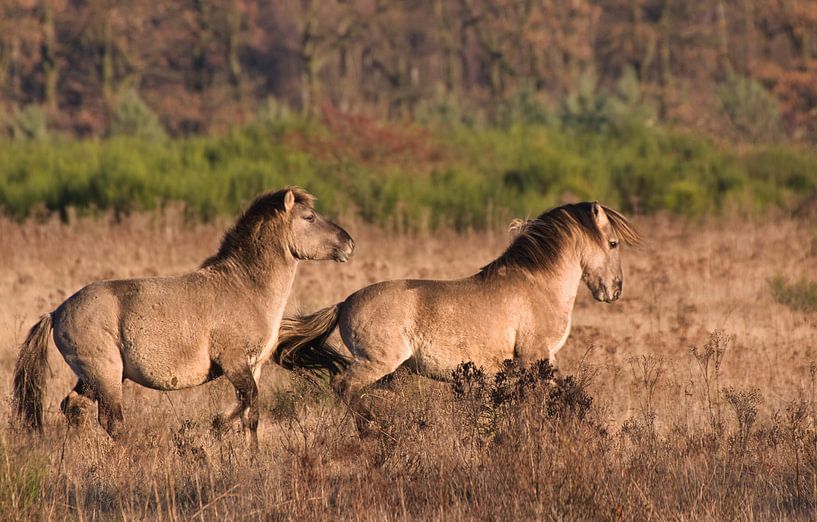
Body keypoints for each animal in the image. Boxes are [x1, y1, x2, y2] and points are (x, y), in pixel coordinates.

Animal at [12, 187, 355, 448]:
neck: (245, 288)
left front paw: (247, 451)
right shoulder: (234, 362)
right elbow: (248, 404)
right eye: (309, 217)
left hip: (93, 377)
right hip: (105, 374)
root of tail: (57, 311)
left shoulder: (254, 366)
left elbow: (248, 413)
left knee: (73, 408)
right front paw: (223, 432)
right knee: (111, 420)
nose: (349, 243)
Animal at [274, 201, 639, 433]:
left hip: (391, 372)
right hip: (377, 362)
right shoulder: (537, 357)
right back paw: (373, 430)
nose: (615, 290)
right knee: (343, 385)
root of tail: (345, 302)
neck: (537, 286)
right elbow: (558, 397)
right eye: (613, 243)